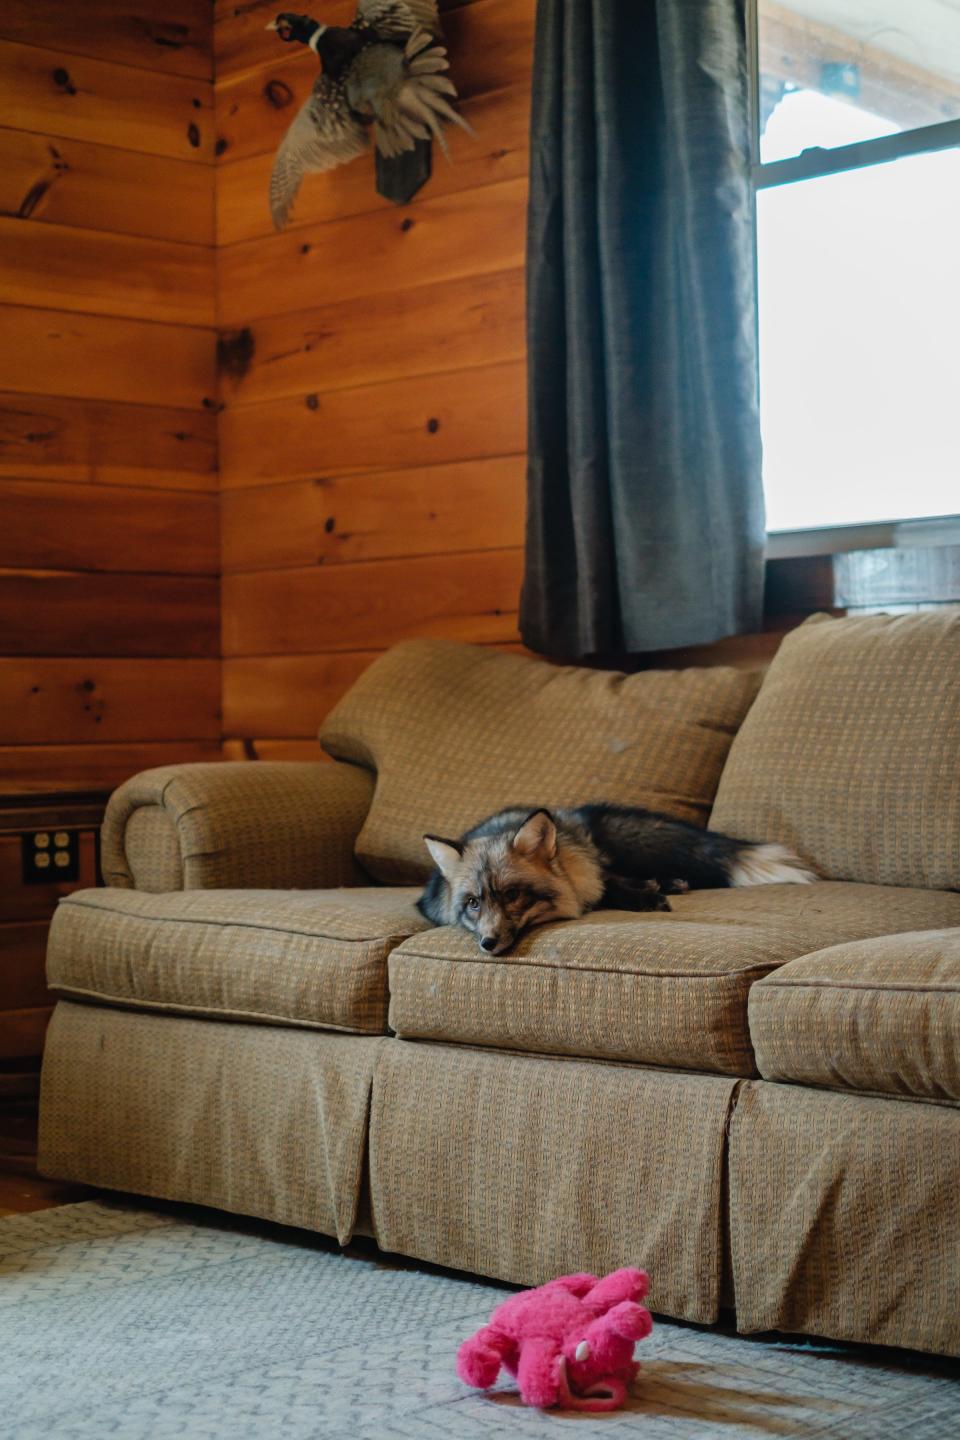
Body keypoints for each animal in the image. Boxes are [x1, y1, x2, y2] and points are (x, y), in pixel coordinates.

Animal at [417, 800, 817, 956]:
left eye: (512, 894)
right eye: (473, 903)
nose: (487, 943)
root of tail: (571, 815)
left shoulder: (588, 874)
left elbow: (609, 885)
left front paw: (644, 897)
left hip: (596, 856)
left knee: (612, 874)